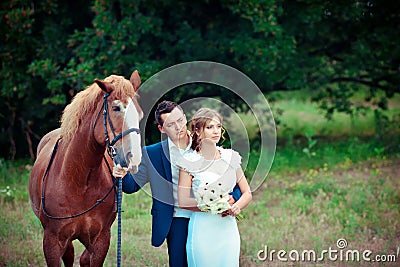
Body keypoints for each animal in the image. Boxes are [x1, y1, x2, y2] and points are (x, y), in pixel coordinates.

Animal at [28, 70, 144, 266]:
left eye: (139, 114)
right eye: (116, 108)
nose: (134, 157)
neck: (79, 180)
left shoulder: (101, 240)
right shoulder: (52, 241)